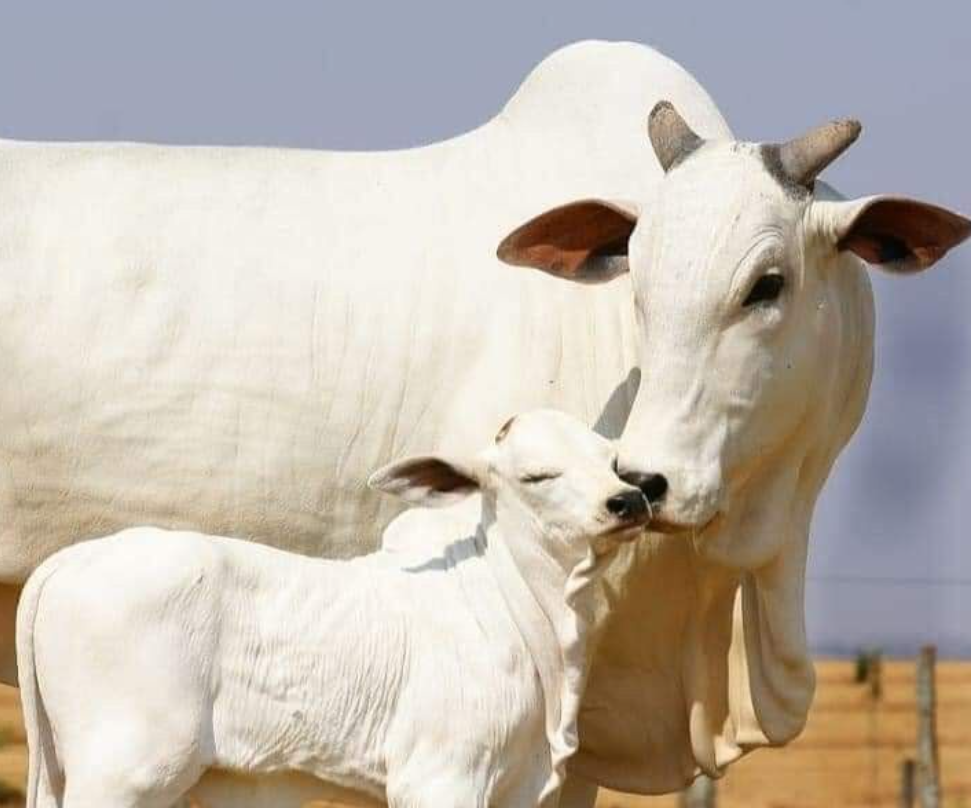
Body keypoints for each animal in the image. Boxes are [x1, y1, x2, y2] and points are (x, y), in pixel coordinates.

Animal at [17, 410, 651, 808]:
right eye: (537, 475)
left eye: (613, 462)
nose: (628, 501)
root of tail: (72, 558)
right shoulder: (439, 777)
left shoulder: (519, 783)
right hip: (125, 772)